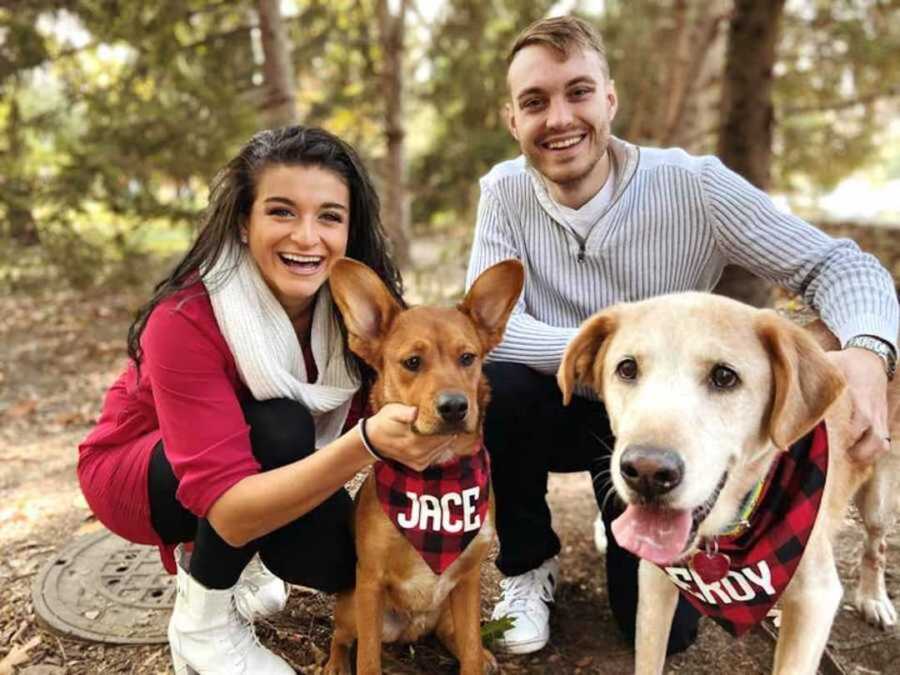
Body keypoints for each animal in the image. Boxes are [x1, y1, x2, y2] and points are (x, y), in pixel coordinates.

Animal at [324, 258, 524, 675]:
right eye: (412, 363)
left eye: (468, 358)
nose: (455, 406)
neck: (436, 476)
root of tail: (411, 630)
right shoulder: (370, 582)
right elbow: (367, 660)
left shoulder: (468, 581)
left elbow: (470, 653)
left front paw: (477, 658)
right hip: (351, 608)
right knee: (341, 636)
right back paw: (334, 663)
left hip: (448, 614)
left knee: (461, 641)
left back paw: (484, 654)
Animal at [560, 294, 896, 675]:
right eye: (627, 369)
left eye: (724, 376)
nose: (646, 472)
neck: (724, 533)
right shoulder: (654, 580)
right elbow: (648, 657)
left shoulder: (816, 598)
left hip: (879, 500)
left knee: (877, 546)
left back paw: (874, 599)